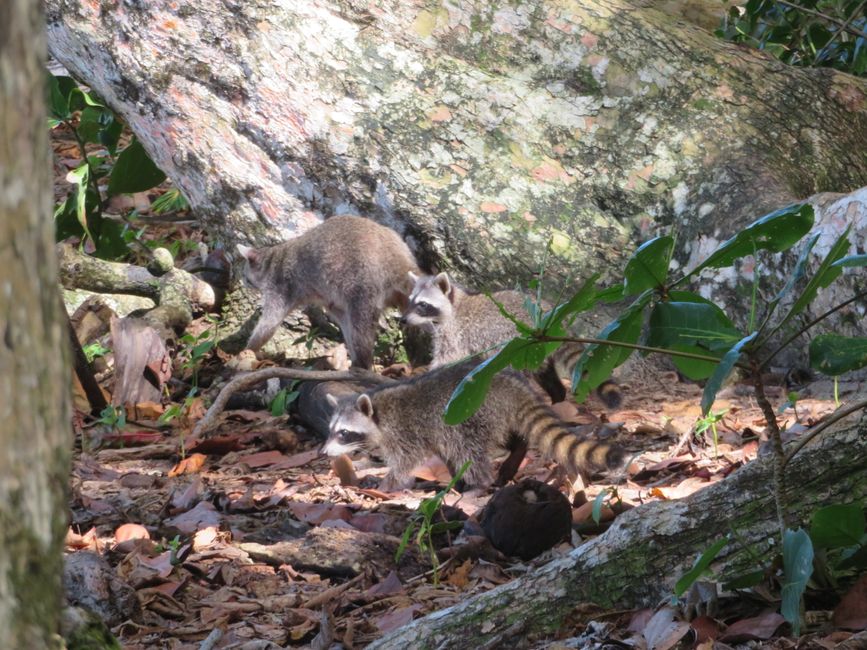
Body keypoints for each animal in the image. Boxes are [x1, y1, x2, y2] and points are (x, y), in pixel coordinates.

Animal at [237, 215, 419, 369]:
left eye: (245, 275)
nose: (242, 281)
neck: (270, 259)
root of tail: (396, 256)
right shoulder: (328, 299)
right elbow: (342, 318)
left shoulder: (280, 286)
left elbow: (269, 324)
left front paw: (249, 349)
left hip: (362, 281)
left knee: (360, 327)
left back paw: (363, 362)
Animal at [323, 361, 624, 489]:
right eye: (331, 431)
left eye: (344, 433)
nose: (323, 452)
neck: (378, 411)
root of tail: (512, 384)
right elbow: (443, 454)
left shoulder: (404, 432)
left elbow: (406, 460)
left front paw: (388, 482)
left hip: (473, 415)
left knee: (468, 449)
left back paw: (480, 482)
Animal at [401, 272, 621, 406]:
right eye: (410, 301)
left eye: (423, 305)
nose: (402, 319)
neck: (454, 303)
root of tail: (551, 316)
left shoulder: (454, 333)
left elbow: (448, 359)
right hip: (538, 350)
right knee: (546, 373)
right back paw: (558, 398)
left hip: (517, 344)